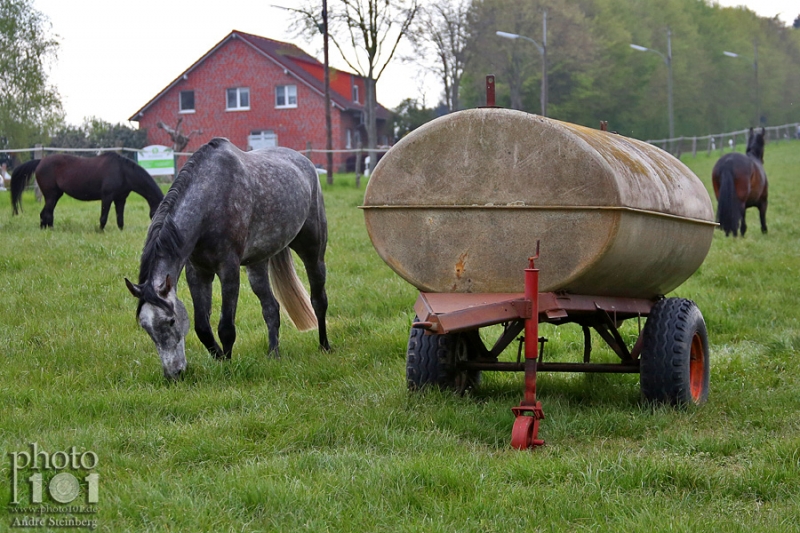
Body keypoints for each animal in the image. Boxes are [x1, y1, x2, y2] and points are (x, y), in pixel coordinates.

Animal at [10, 153, 165, 230]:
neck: (122, 171)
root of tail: (40, 161)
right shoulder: (107, 197)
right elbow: (103, 217)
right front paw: (100, 231)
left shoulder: (120, 199)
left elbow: (120, 219)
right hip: (51, 195)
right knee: (45, 214)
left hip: (55, 195)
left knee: (47, 214)